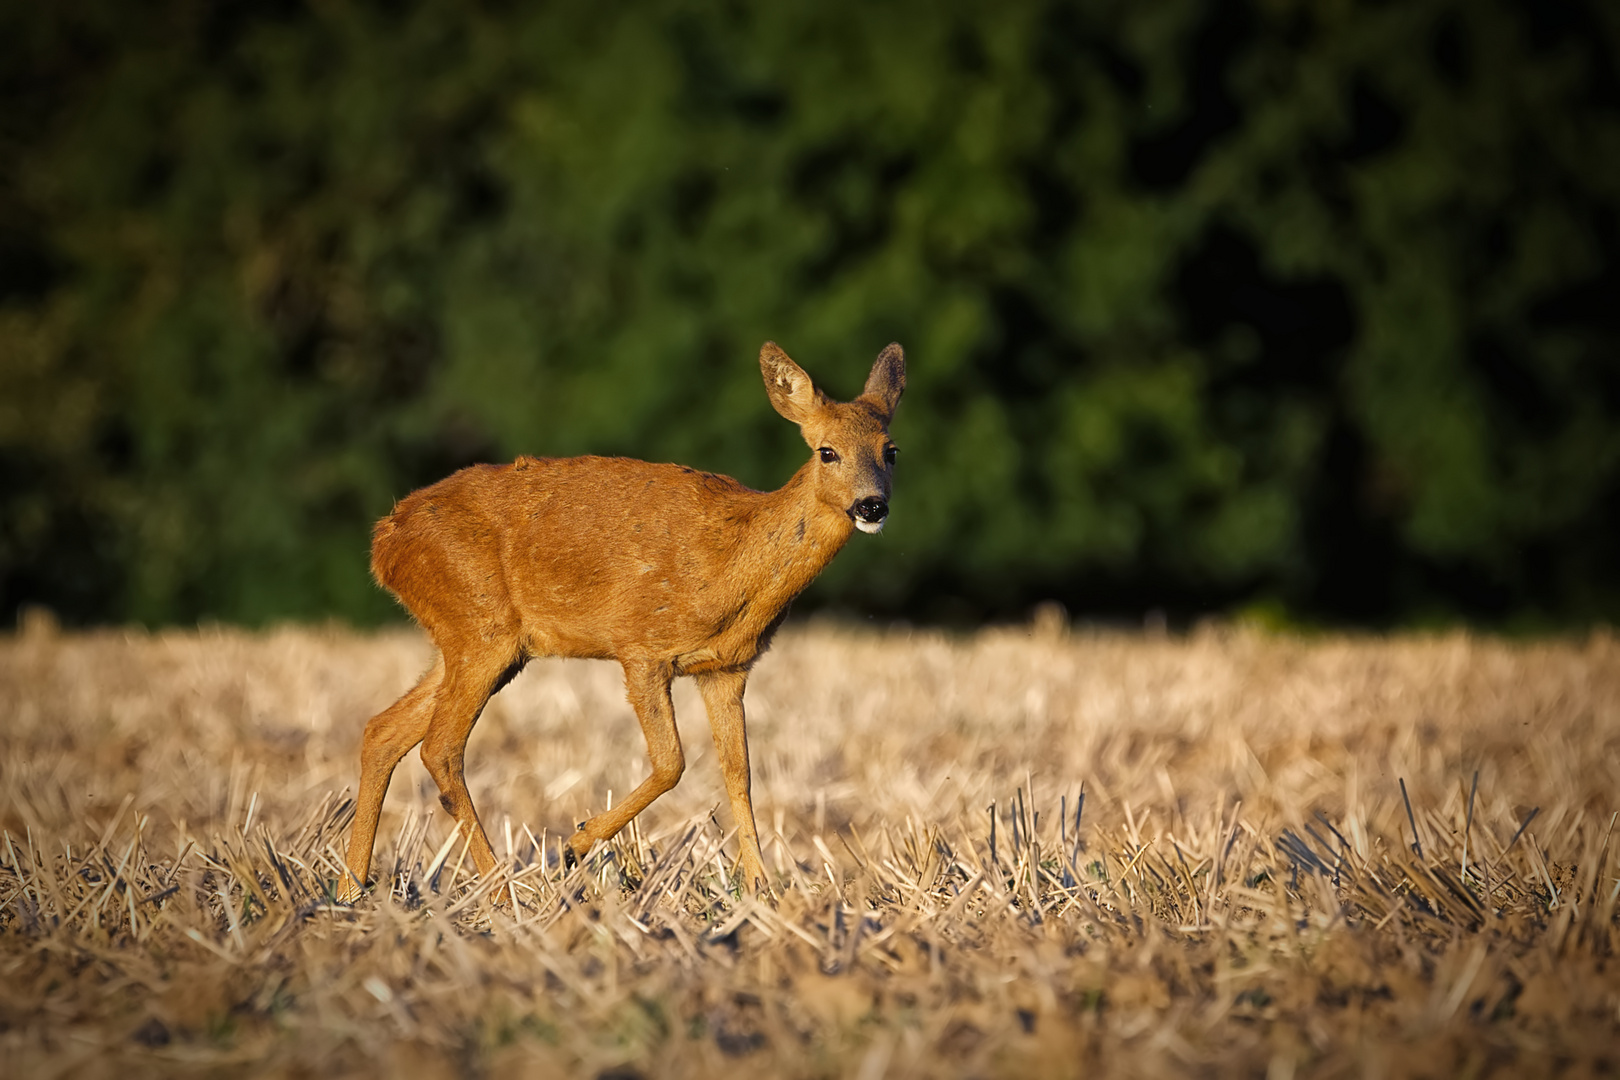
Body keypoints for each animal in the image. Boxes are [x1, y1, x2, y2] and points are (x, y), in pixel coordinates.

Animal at [336, 341, 907, 900]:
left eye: (891, 451)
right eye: (826, 451)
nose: (872, 506)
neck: (734, 561)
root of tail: (384, 542)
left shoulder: (726, 668)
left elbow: (739, 773)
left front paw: (762, 891)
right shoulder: (641, 647)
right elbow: (672, 762)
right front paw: (575, 844)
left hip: (479, 641)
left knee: (382, 731)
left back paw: (349, 888)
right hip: (480, 625)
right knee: (440, 748)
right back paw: (500, 890)